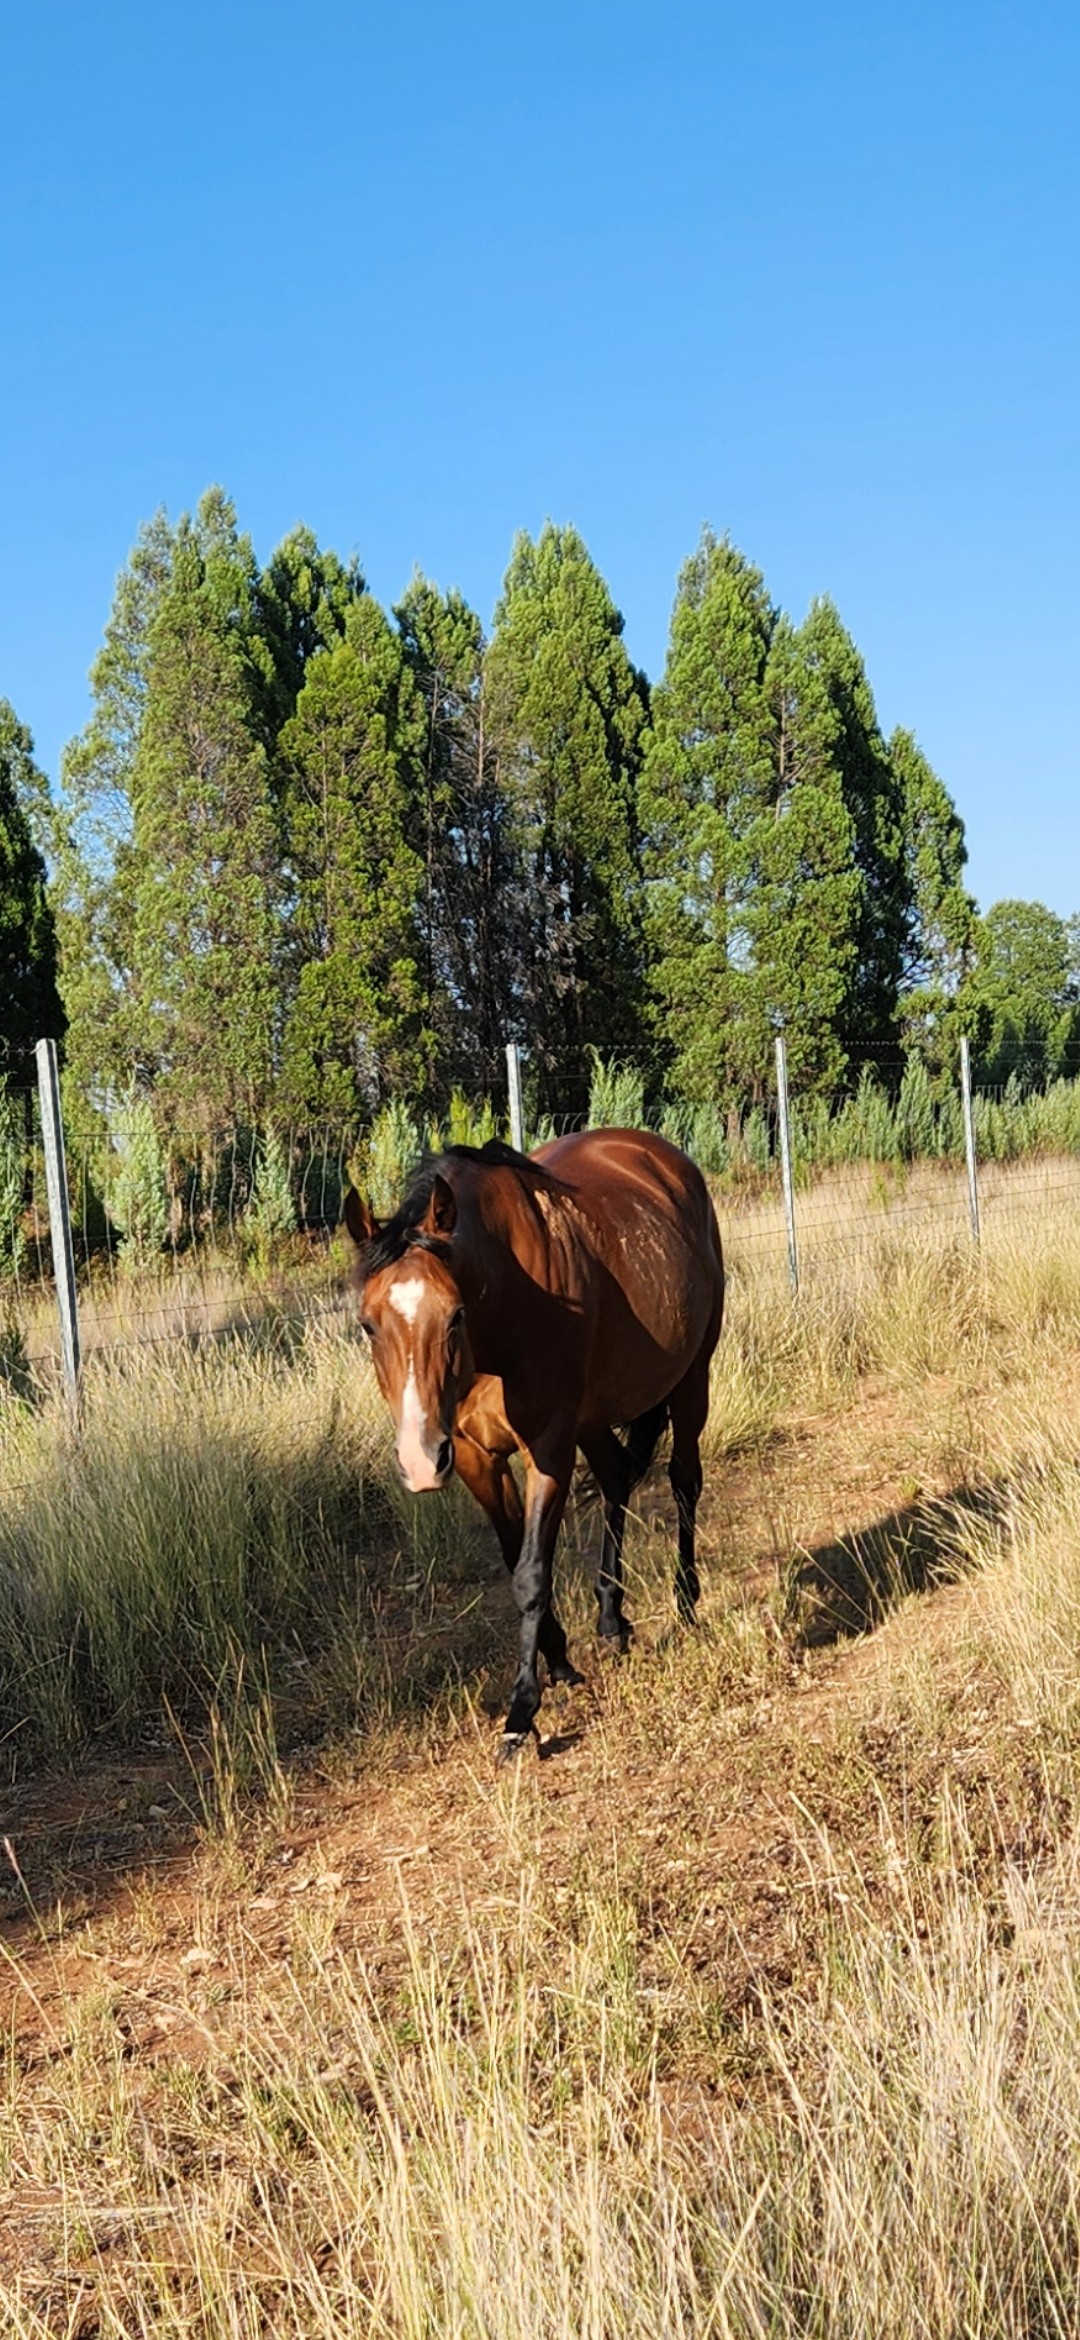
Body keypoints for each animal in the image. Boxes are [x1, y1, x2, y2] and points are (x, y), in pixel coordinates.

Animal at [344, 1130, 724, 1757]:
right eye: (368, 1324)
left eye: (454, 1316)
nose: (421, 1462)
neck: (504, 1312)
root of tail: (662, 1158)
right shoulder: (475, 1457)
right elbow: (512, 1559)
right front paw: (561, 1661)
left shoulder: (548, 1447)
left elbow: (530, 1572)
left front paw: (522, 1710)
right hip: (593, 1418)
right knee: (617, 1479)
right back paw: (611, 1620)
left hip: (692, 1377)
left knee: (684, 1483)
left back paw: (687, 1604)